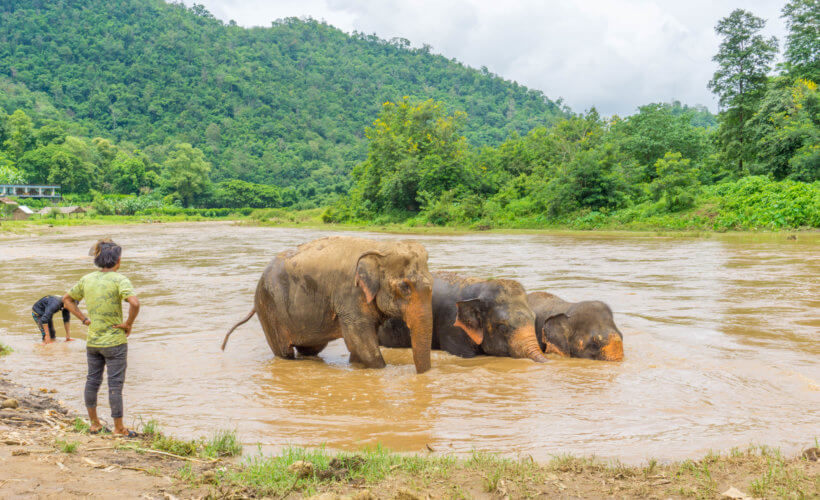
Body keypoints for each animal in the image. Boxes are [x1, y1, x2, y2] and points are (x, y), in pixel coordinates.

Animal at [218, 236, 436, 374]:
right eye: (405, 287)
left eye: (432, 284)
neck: (380, 247)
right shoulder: (349, 294)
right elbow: (359, 340)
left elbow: (360, 343)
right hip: (269, 311)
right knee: (284, 352)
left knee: (310, 349)